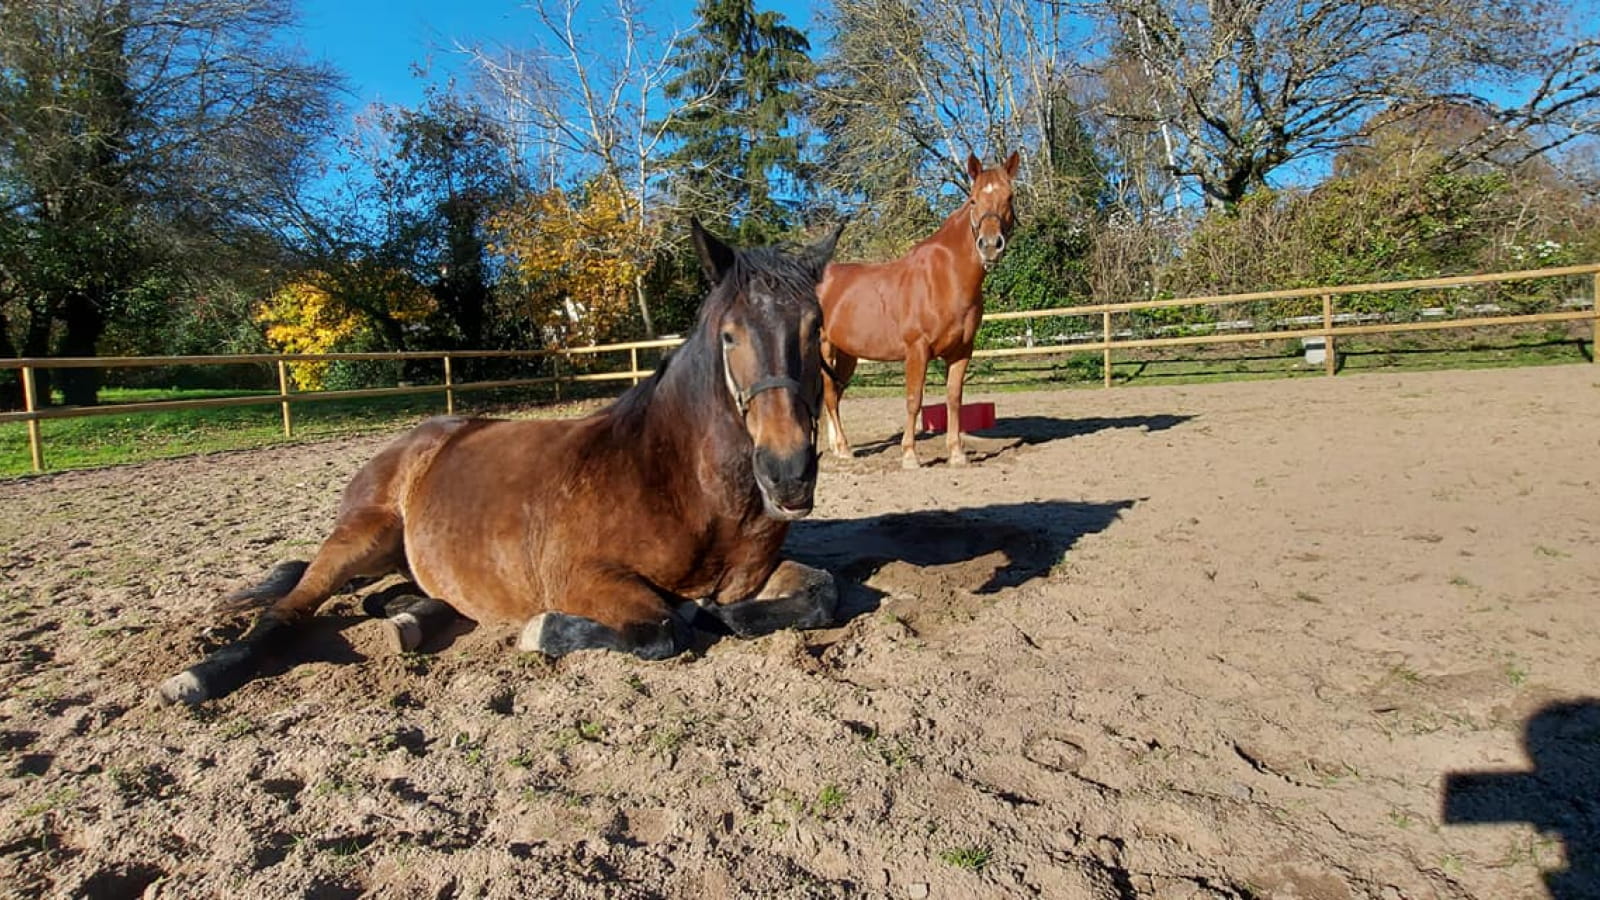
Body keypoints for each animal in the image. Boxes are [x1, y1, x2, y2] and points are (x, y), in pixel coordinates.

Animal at [156, 220, 844, 704]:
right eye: (729, 335)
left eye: (815, 327)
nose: (787, 473)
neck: (680, 482)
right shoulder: (586, 578)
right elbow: (663, 628)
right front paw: (545, 630)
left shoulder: (757, 575)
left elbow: (820, 594)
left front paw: (720, 613)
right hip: (363, 535)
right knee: (289, 607)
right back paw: (200, 676)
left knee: (406, 594)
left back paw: (404, 620)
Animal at [819, 150, 1017, 464]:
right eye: (973, 199)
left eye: (1009, 197)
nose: (989, 245)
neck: (947, 277)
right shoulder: (917, 350)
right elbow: (914, 400)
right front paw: (910, 455)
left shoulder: (962, 351)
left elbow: (954, 398)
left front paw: (957, 454)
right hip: (825, 348)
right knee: (828, 395)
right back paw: (844, 449)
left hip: (847, 354)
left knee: (834, 396)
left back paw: (837, 448)